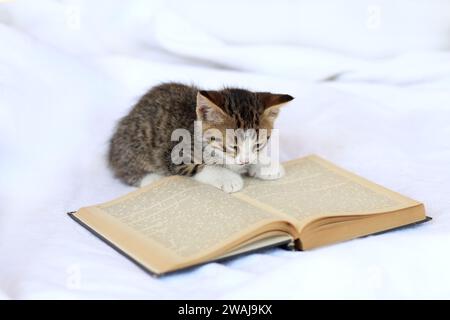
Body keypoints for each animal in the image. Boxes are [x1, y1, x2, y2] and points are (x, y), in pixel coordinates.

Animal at [107, 82, 294, 192]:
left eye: (258, 144)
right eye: (232, 146)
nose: (244, 161)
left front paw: (265, 164)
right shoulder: (175, 154)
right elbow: (204, 167)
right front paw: (229, 177)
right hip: (135, 144)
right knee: (127, 169)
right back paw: (152, 179)